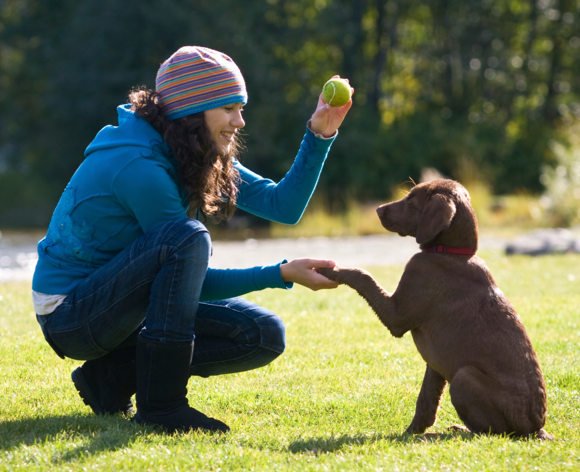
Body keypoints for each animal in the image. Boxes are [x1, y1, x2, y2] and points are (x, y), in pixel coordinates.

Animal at [318, 178, 552, 438]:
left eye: (411, 200)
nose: (378, 209)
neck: (452, 253)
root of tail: (536, 428)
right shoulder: (436, 363)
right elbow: (426, 399)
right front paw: (412, 431)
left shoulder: (397, 316)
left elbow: (363, 275)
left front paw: (330, 269)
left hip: (463, 377)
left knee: (492, 432)